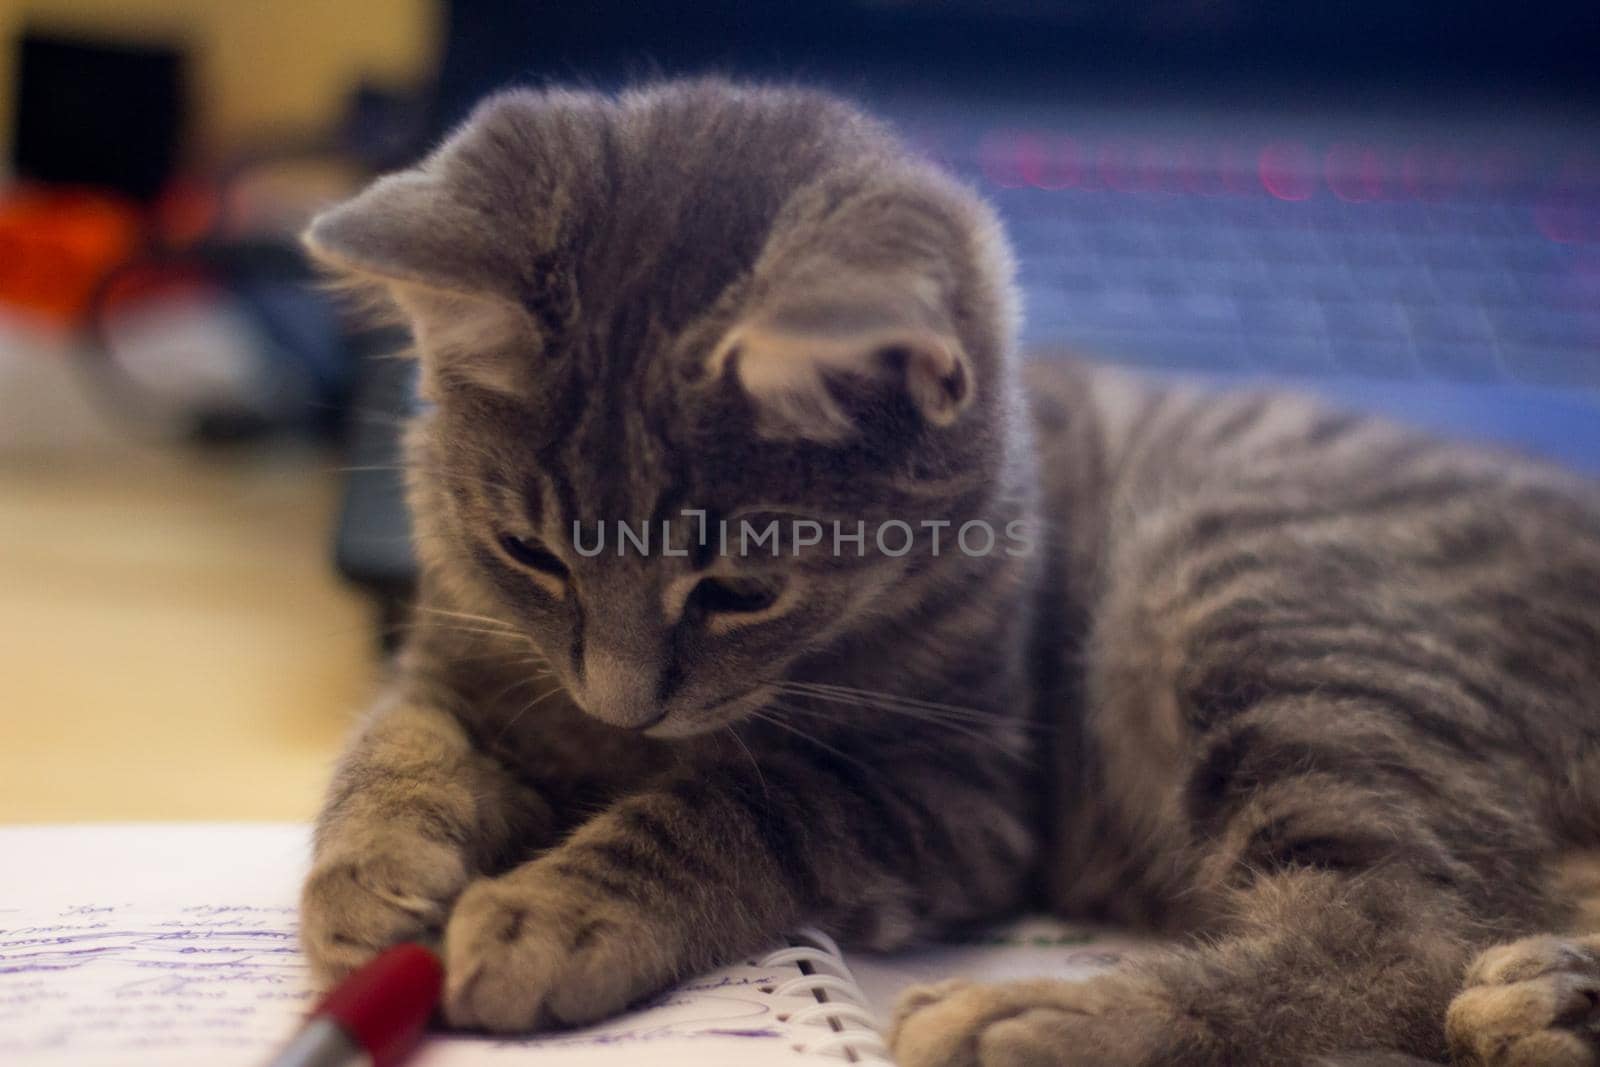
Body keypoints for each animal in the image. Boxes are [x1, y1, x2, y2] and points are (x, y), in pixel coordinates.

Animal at [300, 81, 1600, 1067]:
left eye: (739, 591)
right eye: (529, 553)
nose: (623, 704)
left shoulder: (958, 794)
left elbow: (738, 804)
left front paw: (557, 906)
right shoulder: (464, 655)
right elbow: (395, 740)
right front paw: (366, 877)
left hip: (1252, 591)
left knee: (1398, 937)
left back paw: (1030, 1016)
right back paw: (1552, 999)